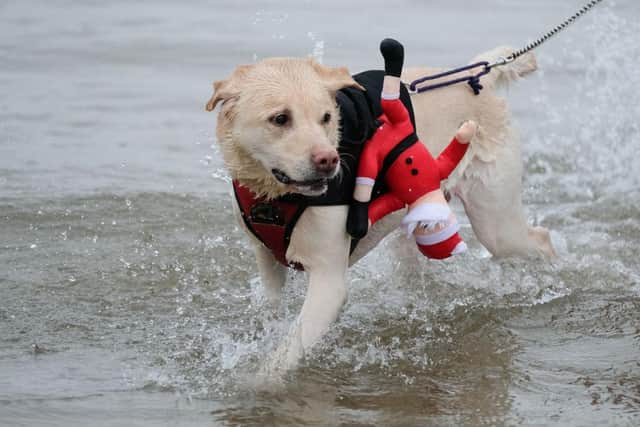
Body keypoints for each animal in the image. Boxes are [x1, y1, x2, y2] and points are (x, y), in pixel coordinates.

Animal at [205, 46, 556, 372]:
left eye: (326, 118)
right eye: (280, 118)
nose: (329, 160)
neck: (277, 198)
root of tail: (475, 76)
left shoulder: (329, 282)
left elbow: (284, 356)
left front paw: (254, 381)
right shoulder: (266, 259)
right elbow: (271, 309)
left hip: (496, 224)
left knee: (541, 239)